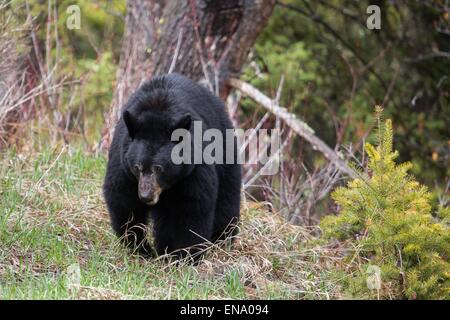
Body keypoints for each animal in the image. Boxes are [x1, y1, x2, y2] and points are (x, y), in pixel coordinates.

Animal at [103, 73, 241, 262]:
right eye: (138, 167)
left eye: (158, 168)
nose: (146, 196)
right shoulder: (123, 166)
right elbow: (124, 203)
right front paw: (140, 248)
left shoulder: (193, 169)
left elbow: (191, 209)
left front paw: (185, 256)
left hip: (225, 152)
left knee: (227, 199)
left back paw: (221, 241)